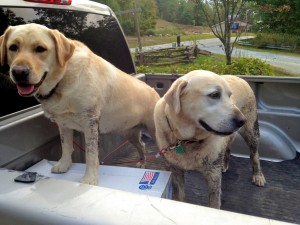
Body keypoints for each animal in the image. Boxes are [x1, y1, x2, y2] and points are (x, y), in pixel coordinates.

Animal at [0, 23, 161, 185]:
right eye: (13, 47)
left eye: (40, 49)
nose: (19, 72)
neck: (63, 79)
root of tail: (154, 92)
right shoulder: (63, 122)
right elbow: (66, 146)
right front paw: (63, 165)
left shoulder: (90, 121)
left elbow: (91, 154)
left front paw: (90, 178)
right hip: (130, 132)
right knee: (142, 145)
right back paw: (141, 163)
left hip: (155, 133)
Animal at [154, 71, 266, 209]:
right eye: (214, 95)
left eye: (229, 96)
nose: (242, 120)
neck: (187, 140)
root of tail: (240, 78)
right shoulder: (174, 171)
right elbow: (179, 196)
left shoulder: (213, 175)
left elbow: (214, 202)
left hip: (251, 131)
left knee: (254, 153)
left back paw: (258, 175)